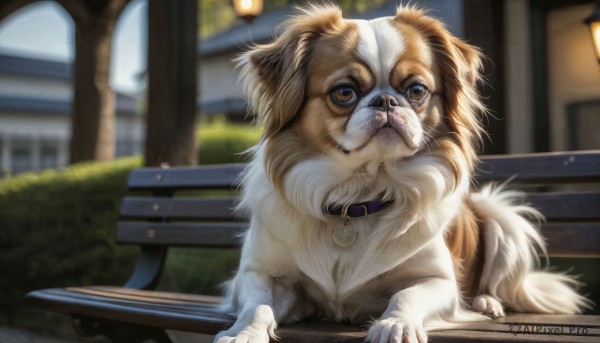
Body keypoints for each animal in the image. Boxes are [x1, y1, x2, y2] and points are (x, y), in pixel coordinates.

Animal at [213, 3, 588, 343]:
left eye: (416, 90)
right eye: (344, 92)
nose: (386, 101)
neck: (358, 197)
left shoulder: (438, 281)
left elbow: (406, 294)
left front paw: (395, 325)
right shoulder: (258, 275)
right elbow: (257, 307)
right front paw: (242, 334)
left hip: (500, 216)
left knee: (494, 282)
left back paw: (486, 302)